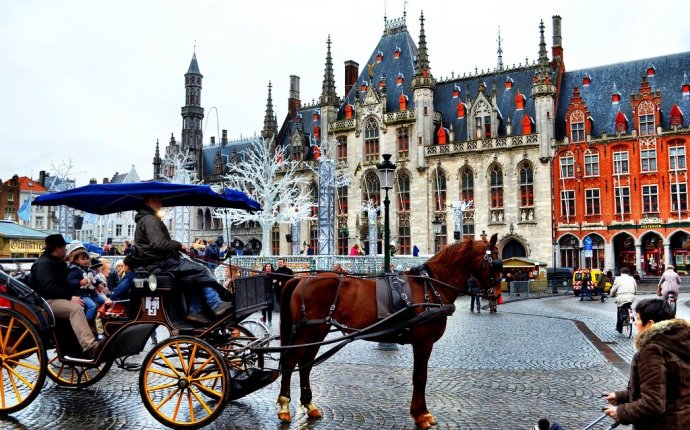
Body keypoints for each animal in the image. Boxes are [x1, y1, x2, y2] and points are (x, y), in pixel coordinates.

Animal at [274, 233, 500, 428]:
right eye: (495, 263)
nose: (497, 294)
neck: (430, 287)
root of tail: (301, 279)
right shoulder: (423, 342)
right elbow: (420, 377)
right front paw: (421, 415)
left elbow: (420, 377)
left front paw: (422, 413)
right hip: (310, 331)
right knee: (291, 362)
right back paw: (284, 407)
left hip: (317, 331)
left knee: (305, 364)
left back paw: (310, 406)